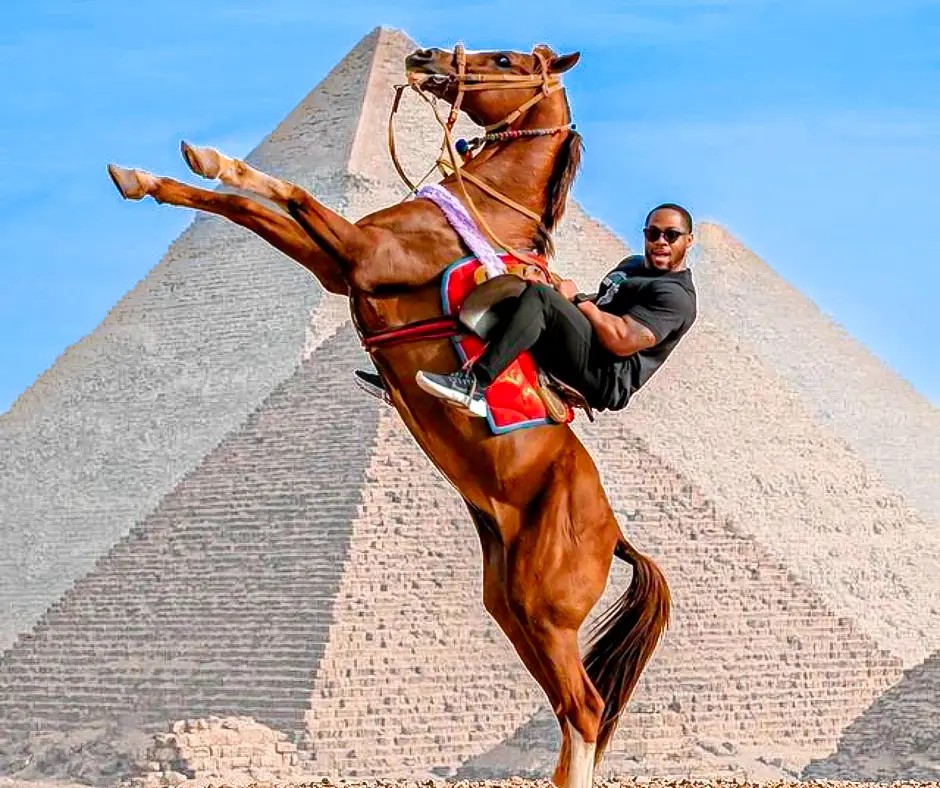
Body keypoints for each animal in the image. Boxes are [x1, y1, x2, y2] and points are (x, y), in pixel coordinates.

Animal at [108, 41, 668, 788]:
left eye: (504, 59)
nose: (422, 56)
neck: (481, 211)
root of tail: (617, 534)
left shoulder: (360, 255)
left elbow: (290, 194)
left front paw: (207, 160)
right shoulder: (334, 266)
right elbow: (245, 206)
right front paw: (153, 174)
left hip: (547, 606)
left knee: (585, 707)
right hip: (511, 605)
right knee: (571, 706)